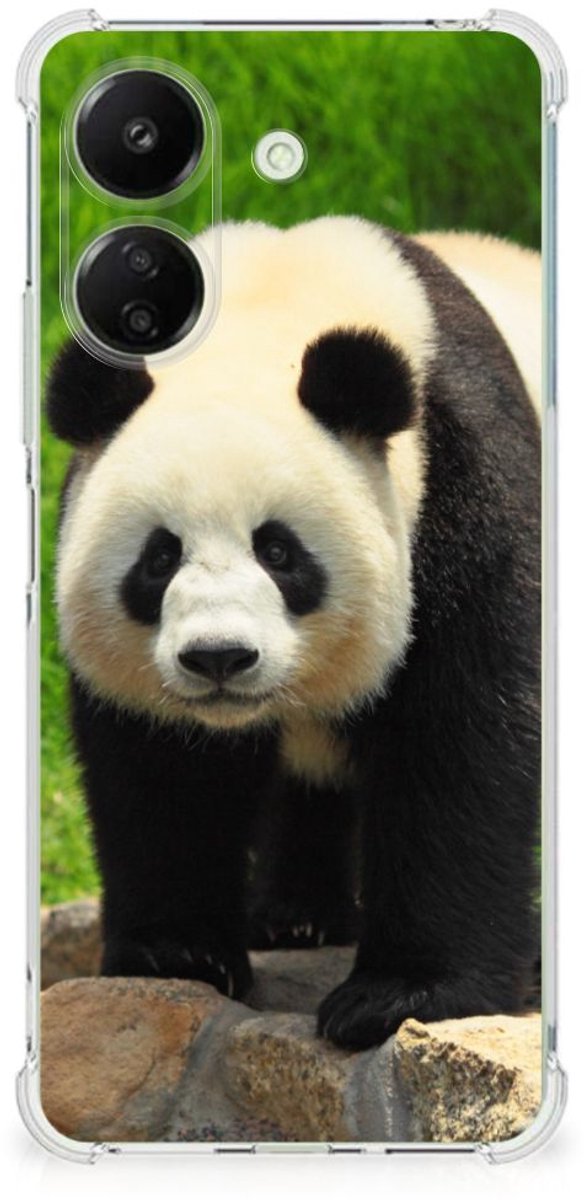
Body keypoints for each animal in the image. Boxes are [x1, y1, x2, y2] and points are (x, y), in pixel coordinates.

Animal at [47, 217, 541, 1050]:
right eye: (159, 557)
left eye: (278, 552)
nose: (218, 658)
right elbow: (161, 769)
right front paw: (178, 954)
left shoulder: (465, 485)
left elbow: (463, 738)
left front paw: (399, 994)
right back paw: (296, 917)